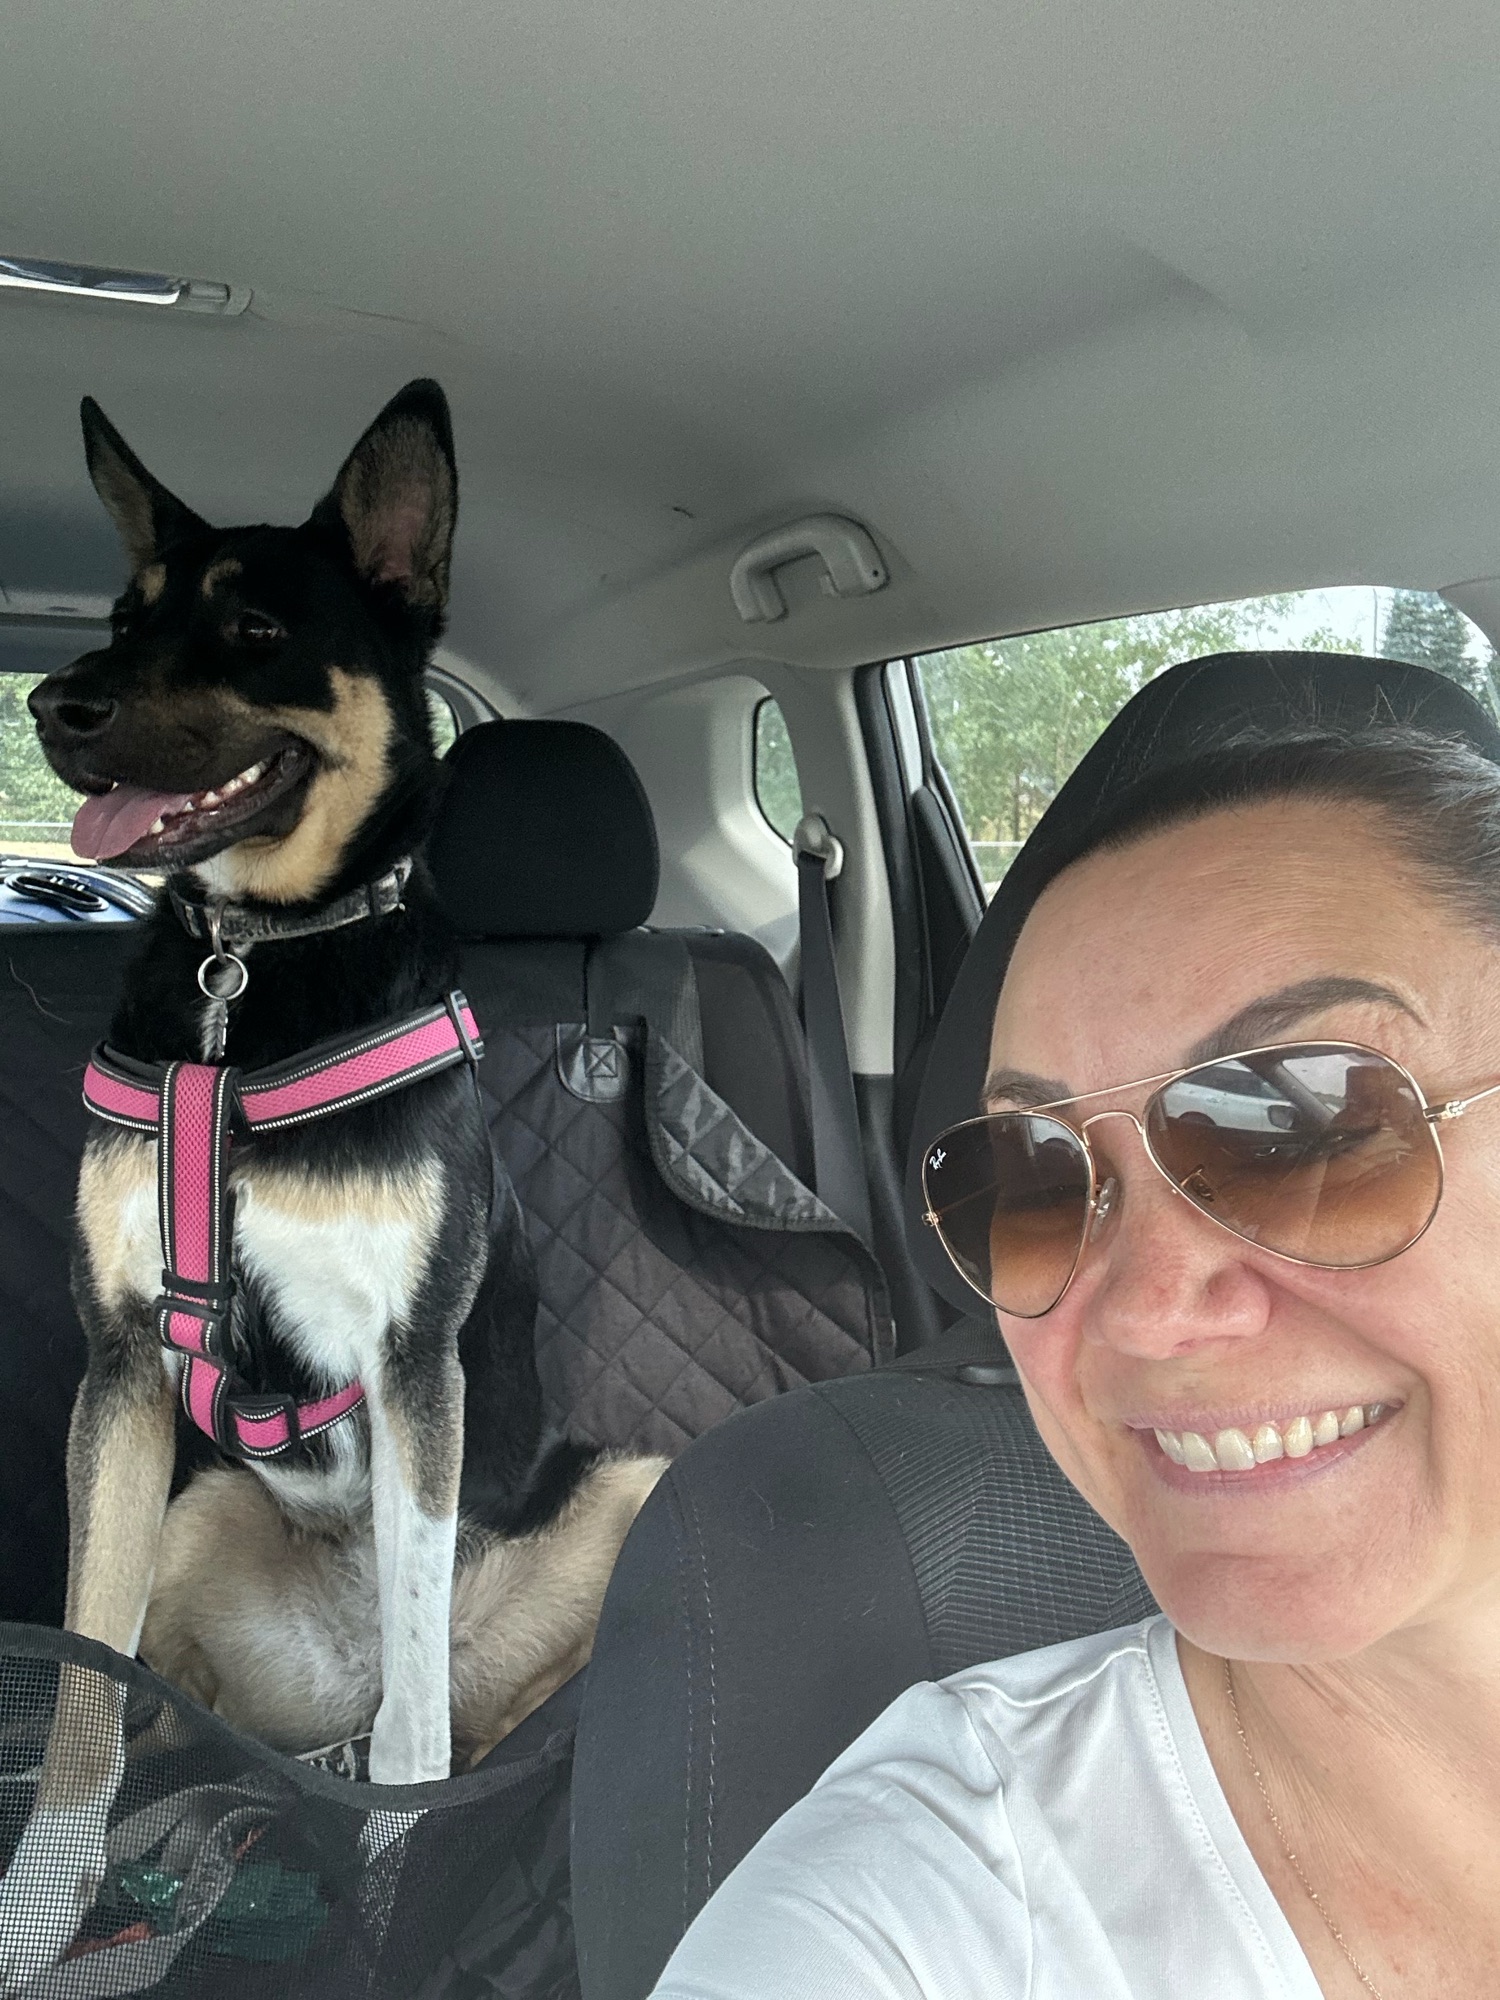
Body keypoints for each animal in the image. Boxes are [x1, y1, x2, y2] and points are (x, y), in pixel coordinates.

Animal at [0, 381, 665, 1984]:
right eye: (123, 614)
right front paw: (40, 1895)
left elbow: (421, 1714)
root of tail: (323, 1712)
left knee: (454, 1711)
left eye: (253, 628)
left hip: (629, 1489)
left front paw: (397, 1875)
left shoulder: (416, 1361)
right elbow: (83, 1683)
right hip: (192, 1507)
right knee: (182, 1711)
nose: (54, 706)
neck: (252, 970)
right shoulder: (122, 1369)